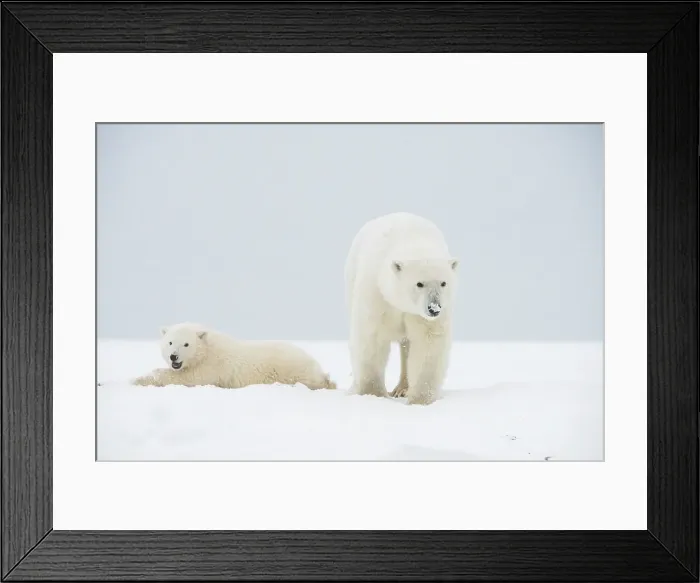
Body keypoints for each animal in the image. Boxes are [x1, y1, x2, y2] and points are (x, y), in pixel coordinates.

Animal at [131, 322, 337, 391]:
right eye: (170, 342)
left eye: (186, 344)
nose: (174, 357)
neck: (206, 350)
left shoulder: (211, 367)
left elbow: (188, 377)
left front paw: (136, 379)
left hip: (292, 369)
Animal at [344, 212, 458, 405]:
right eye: (419, 283)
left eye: (444, 283)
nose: (434, 308)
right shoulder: (376, 293)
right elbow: (371, 337)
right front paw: (372, 394)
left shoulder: (422, 316)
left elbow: (427, 343)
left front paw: (420, 399)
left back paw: (402, 389)